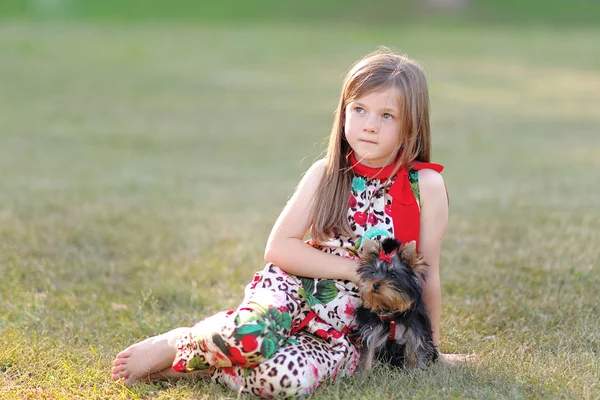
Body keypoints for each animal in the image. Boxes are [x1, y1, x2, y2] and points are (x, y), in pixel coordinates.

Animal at [354, 238, 438, 372]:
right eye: (373, 273)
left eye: (392, 275)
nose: (375, 284)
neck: (392, 313)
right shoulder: (372, 331)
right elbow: (368, 352)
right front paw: (365, 372)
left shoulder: (415, 332)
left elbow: (415, 352)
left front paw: (415, 371)